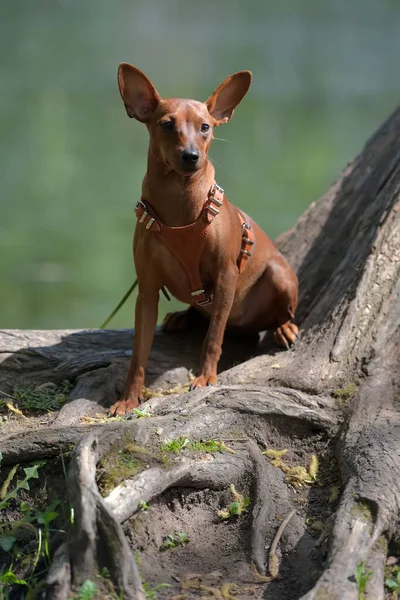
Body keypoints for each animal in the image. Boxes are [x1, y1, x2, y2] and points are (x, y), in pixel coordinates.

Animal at [108, 63, 296, 414]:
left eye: (205, 127)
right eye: (167, 125)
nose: (191, 156)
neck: (180, 205)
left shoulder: (226, 276)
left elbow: (213, 338)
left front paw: (206, 378)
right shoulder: (147, 291)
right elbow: (139, 355)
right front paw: (128, 398)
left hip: (279, 274)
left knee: (278, 314)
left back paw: (284, 327)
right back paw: (184, 316)